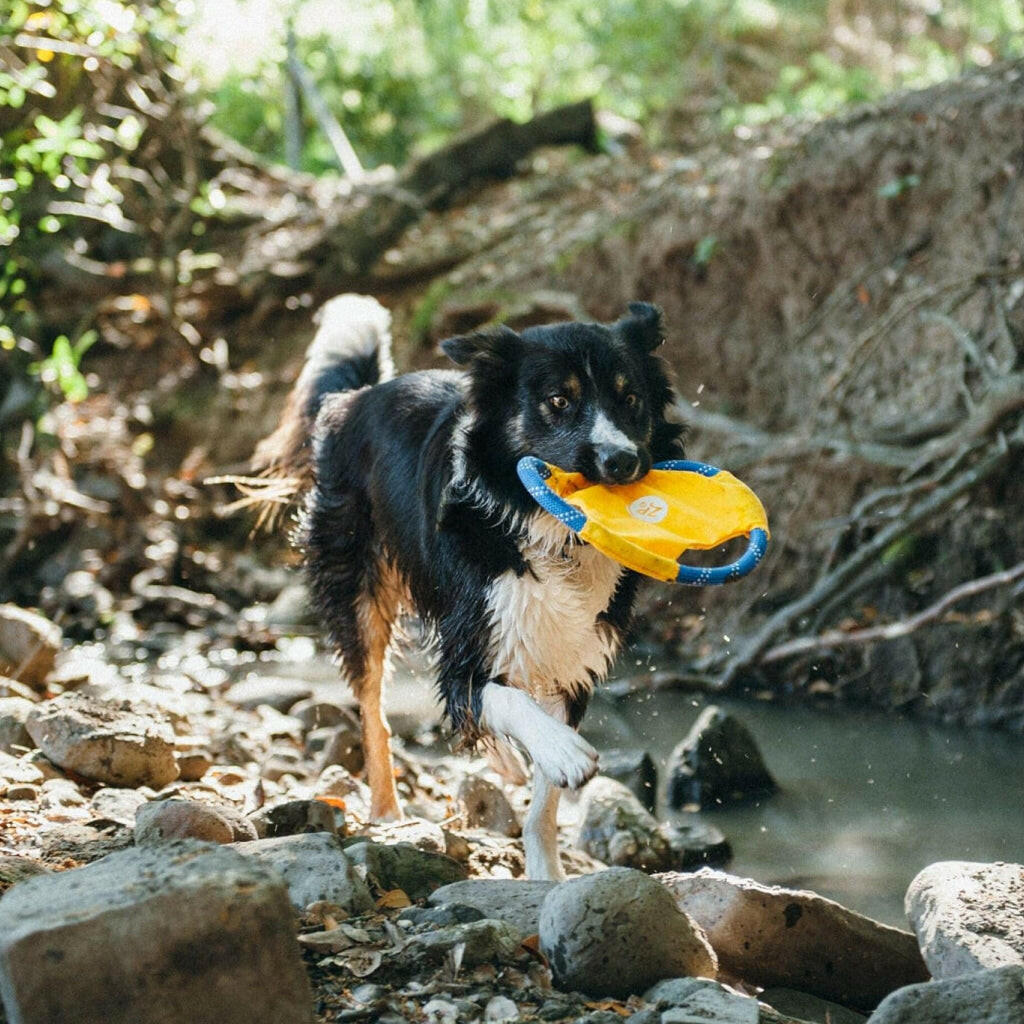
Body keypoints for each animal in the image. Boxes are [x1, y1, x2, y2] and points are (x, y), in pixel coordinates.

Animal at [254, 296, 684, 880]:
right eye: (558, 400)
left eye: (631, 397)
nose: (622, 461)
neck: (550, 535)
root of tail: (355, 398)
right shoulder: (466, 648)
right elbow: (501, 699)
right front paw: (565, 751)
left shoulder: (574, 654)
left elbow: (543, 801)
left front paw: (547, 874)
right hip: (358, 590)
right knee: (374, 709)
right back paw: (387, 810)